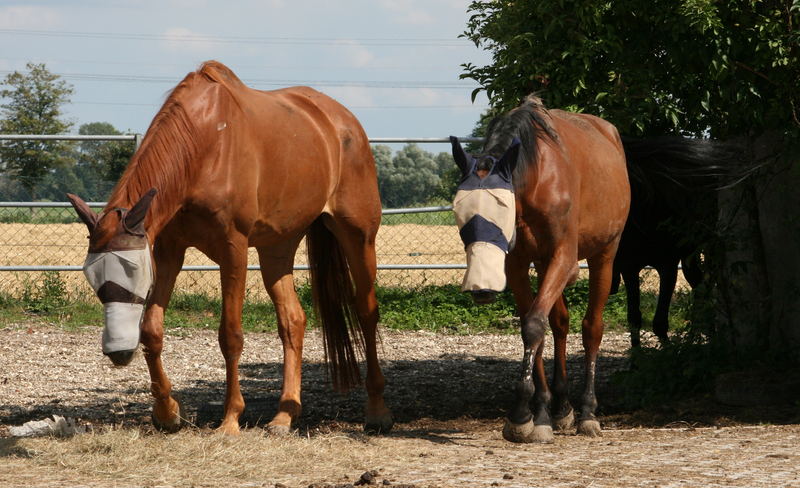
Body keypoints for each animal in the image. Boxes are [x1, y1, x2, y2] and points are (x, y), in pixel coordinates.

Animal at [69, 60, 394, 434]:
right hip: (277, 246)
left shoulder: (233, 249)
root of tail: (342, 121)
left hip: (358, 236)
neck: (203, 144)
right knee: (293, 320)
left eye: (134, 273)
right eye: (91, 276)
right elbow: (151, 330)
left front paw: (230, 419)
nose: (118, 353)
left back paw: (377, 410)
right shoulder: (168, 251)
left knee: (367, 312)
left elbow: (230, 335)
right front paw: (167, 412)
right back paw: (285, 414)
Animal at [450, 94, 632, 442]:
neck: (536, 176)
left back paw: (587, 411)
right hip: (547, 262)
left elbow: (535, 325)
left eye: (500, 212)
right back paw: (561, 407)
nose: (481, 289)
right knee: (560, 322)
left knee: (592, 328)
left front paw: (522, 414)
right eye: (459, 215)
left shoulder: (563, 255)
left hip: (605, 254)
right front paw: (539, 413)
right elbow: (534, 326)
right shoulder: (519, 263)